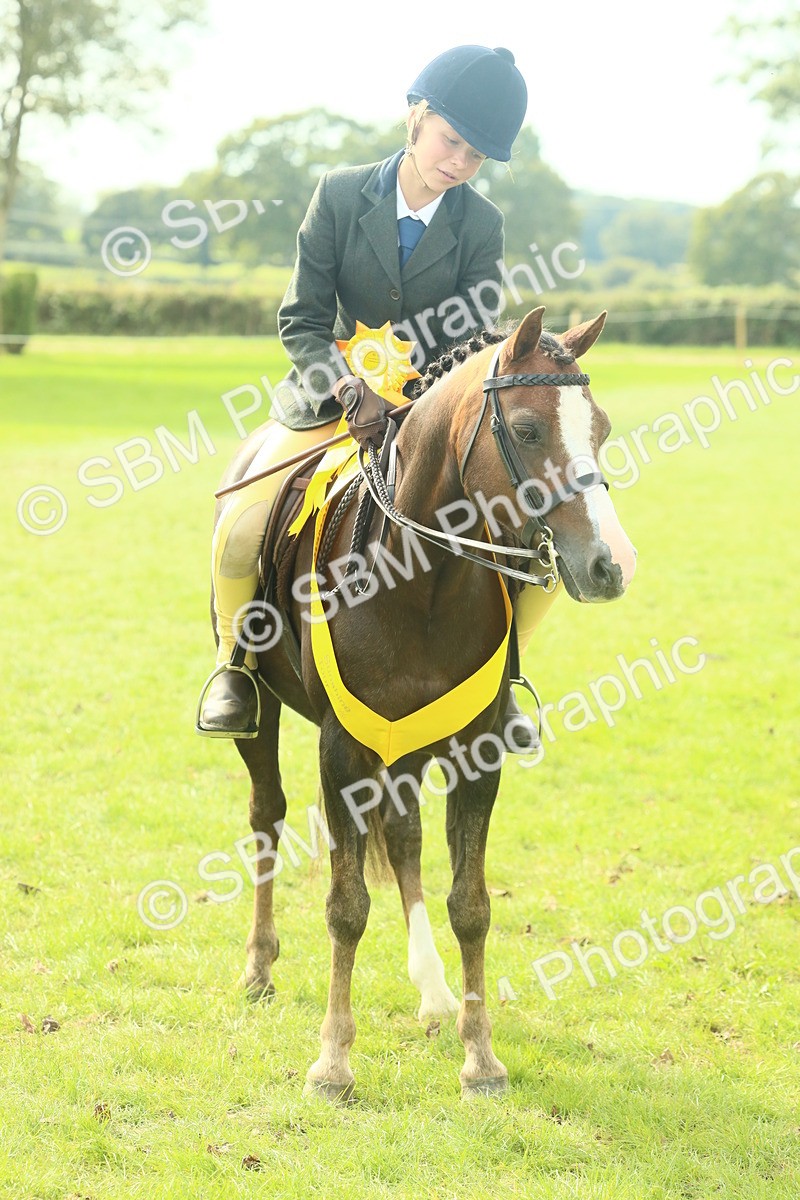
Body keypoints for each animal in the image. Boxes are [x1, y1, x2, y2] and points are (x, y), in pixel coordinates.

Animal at [211, 305, 637, 1101]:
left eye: (598, 428)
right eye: (527, 430)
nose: (610, 564)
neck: (423, 579)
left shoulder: (475, 753)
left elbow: (470, 904)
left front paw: (481, 1057)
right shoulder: (341, 752)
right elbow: (346, 907)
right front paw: (333, 1063)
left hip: (407, 746)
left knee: (404, 839)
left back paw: (434, 993)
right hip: (266, 715)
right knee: (266, 815)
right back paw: (258, 965)